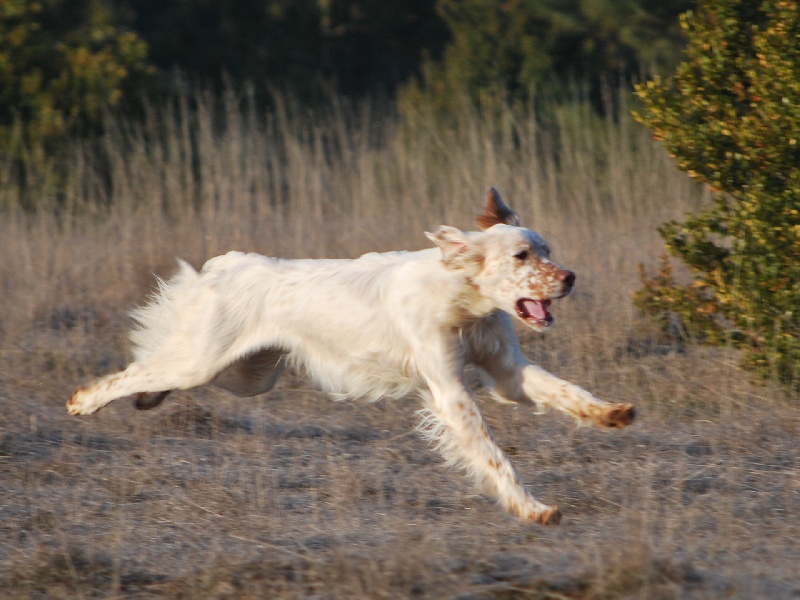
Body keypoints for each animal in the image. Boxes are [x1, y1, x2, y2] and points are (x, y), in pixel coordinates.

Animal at [69, 190, 636, 524]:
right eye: (521, 256)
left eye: (547, 250)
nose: (570, 277)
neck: (461, 298)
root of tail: (228, 263)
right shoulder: (450, 392)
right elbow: (496, 456)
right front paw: (531, 507)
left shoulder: (508, 375)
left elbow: (566, 392)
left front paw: (611, 412)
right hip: (205, 359)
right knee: (134, 371)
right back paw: (84, 401)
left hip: (250, 374)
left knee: (157, 374)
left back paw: (148, 399)